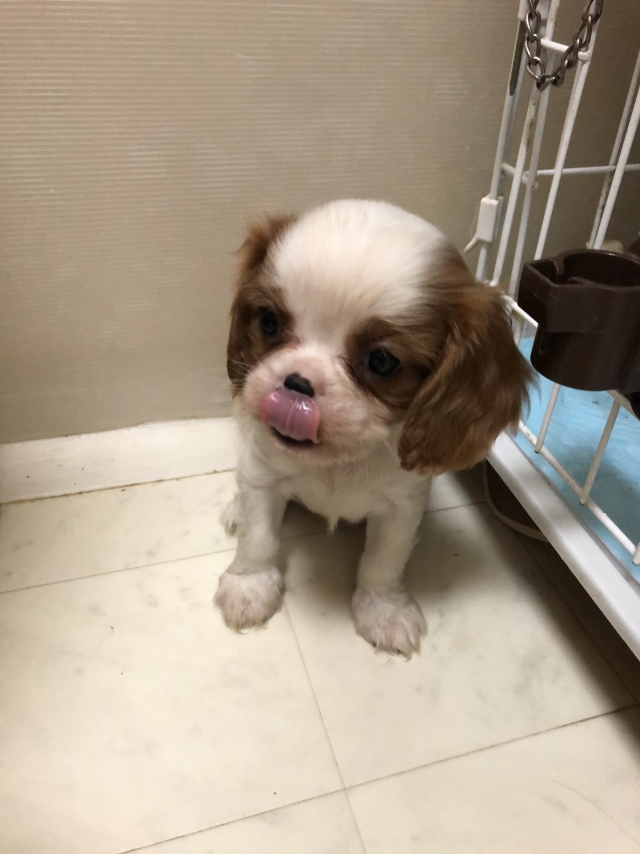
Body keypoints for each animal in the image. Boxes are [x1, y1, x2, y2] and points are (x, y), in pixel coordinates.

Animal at [214, 200, 530, 657]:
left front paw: (384, 610)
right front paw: (249, 587)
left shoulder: (403, 505)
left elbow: (383, 560)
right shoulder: (262, 476)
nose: (297, 385)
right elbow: (259, 537)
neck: (341, 460)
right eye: (269, 322)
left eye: (382, 362)